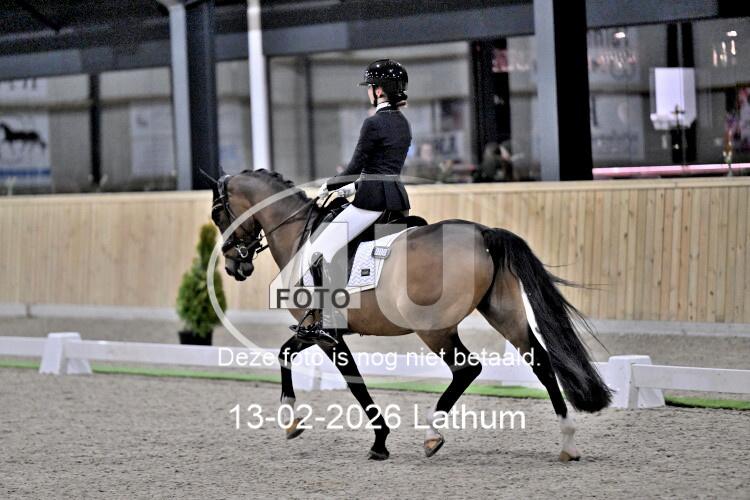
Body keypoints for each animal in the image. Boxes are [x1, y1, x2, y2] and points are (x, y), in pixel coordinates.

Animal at [209, 168, 611, 461]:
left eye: (218, 214)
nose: (233, 266)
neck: (298, 235)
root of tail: (482, 233)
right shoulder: (318, 332)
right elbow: (286, 353)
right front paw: (293, 419)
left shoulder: (326, 335)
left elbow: (351, 381)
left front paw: (376, 441)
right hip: (503, 314)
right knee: (539, 360)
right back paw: (568, 442)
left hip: (434, 329)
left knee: (468, 368)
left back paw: (433, 435)